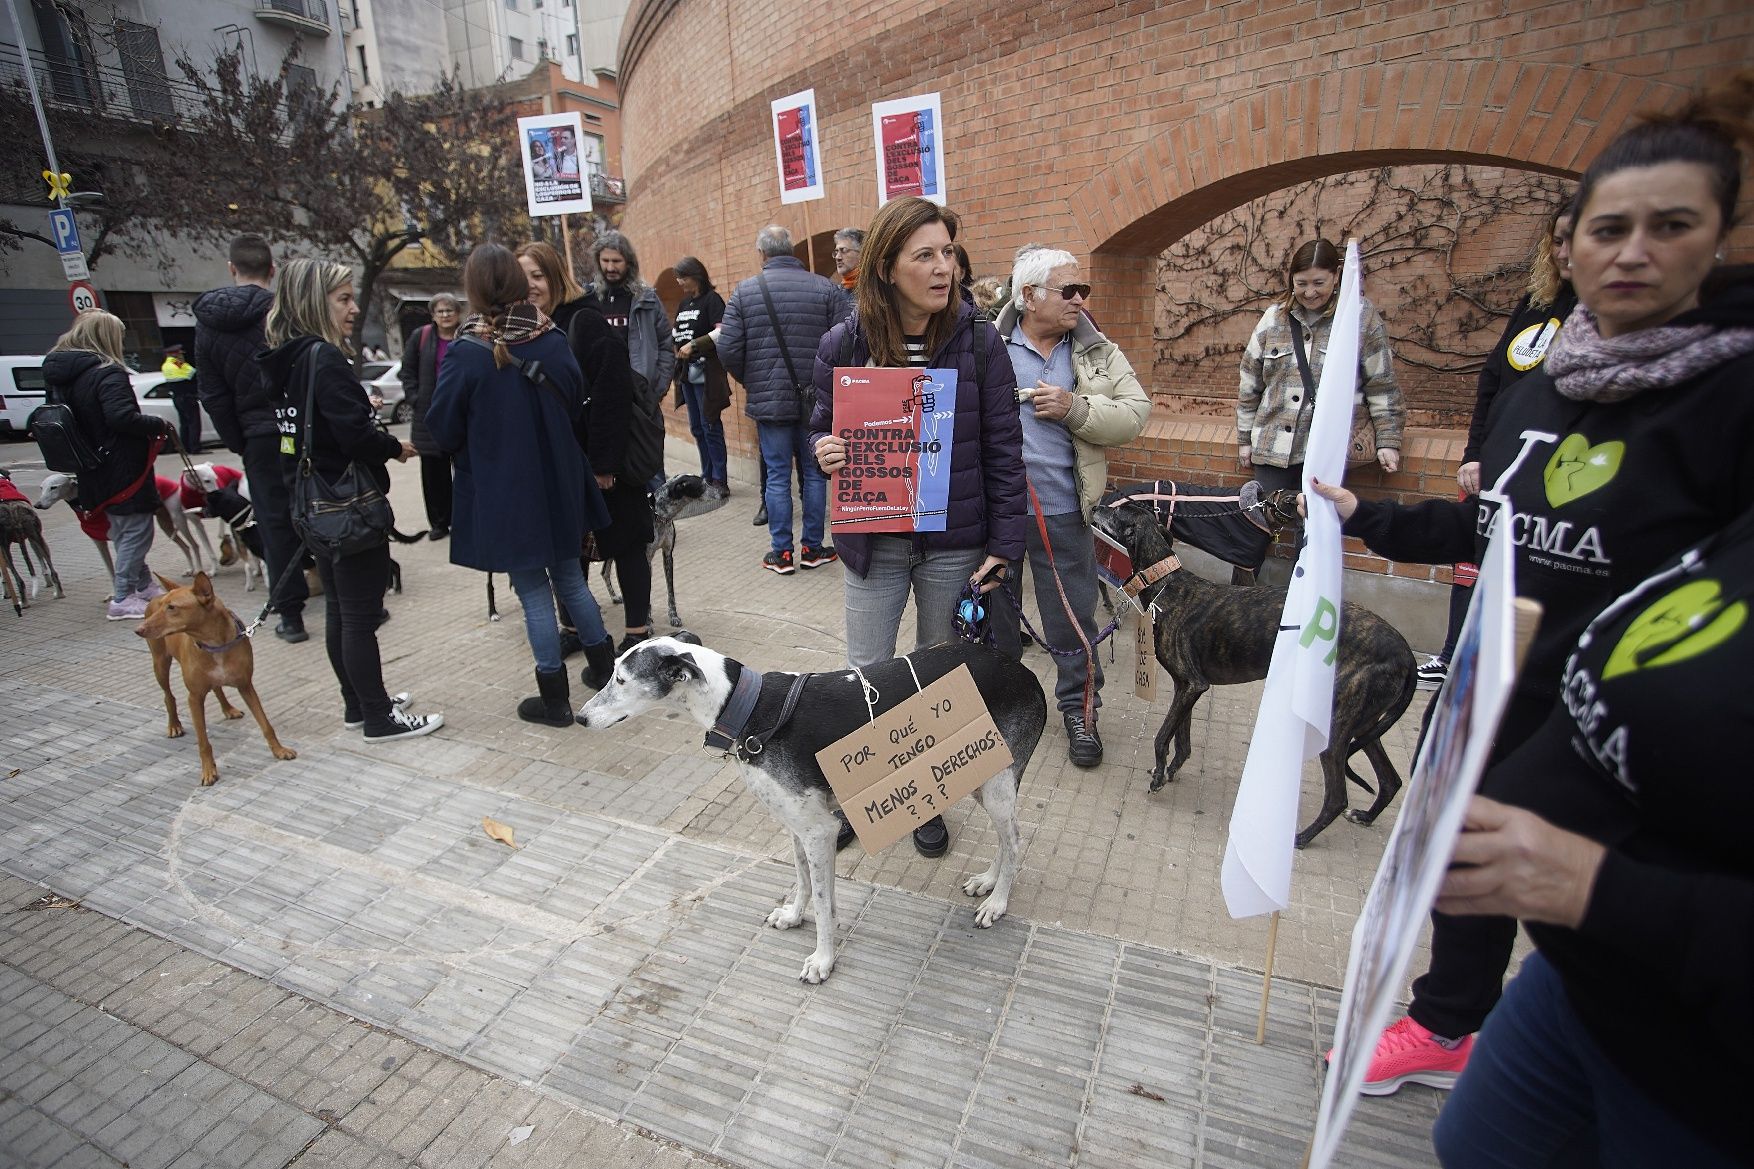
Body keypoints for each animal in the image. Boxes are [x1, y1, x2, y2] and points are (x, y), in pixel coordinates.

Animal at [136, 572, 298, 782]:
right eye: (164, 606)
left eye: (172, 607)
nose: (138, 629)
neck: (214, 644)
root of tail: (155, 596)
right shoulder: (194, 697)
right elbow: (203, 741)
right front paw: (208, 770)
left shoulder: (246, 686)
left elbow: (266, 725)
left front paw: (279, 750)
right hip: (160, 664)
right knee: (168, 696)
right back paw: (174, 725)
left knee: (216, 687)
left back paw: (228, 708)